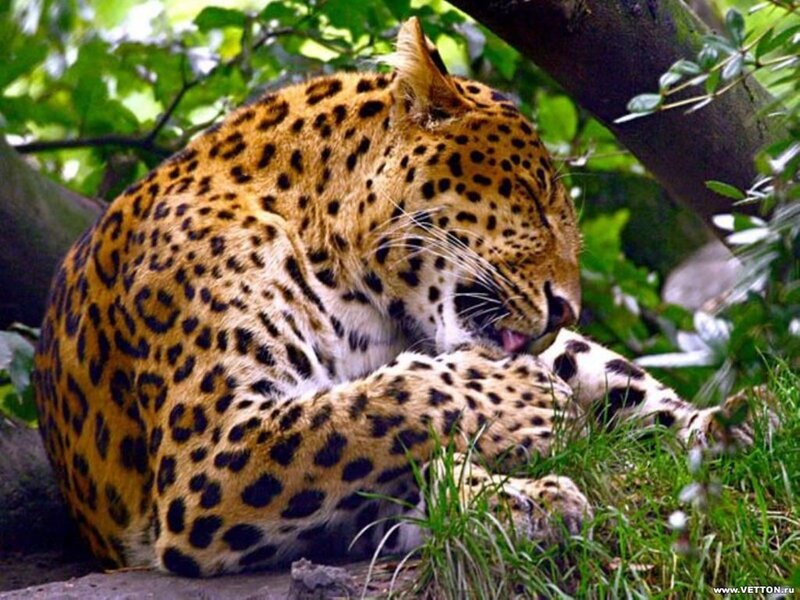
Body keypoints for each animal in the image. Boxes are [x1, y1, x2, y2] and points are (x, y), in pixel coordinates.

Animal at [32, 18, 762, 578]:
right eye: (532, 198)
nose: (568, 309)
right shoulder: (211, 454)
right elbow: (376, 409)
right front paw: (522, 442)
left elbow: (382, 415)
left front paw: (518, 487)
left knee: (637, 394)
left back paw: (732, 425)